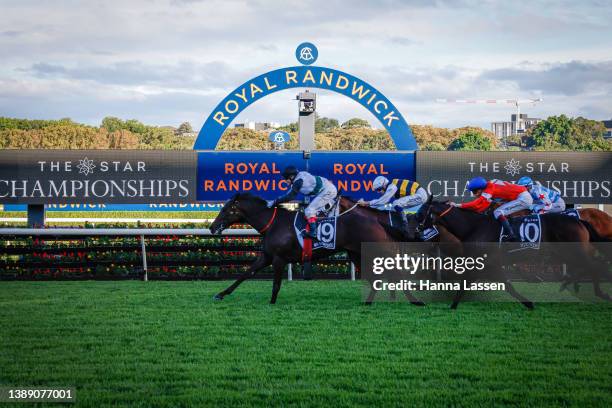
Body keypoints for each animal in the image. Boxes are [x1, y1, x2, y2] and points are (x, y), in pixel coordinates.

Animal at [208, 194, 424, 306]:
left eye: (226, 209)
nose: (212, 227)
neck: (274, 224)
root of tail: (377, 220)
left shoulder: (278, 259)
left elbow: (276, 284)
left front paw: (272, 302)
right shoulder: (267, 256)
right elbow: (245, 274)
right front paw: (221, 293)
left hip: (378, 250)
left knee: (395, 274)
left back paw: (416, 301)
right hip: (356, 253)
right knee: (376, 279)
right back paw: (369, 301)